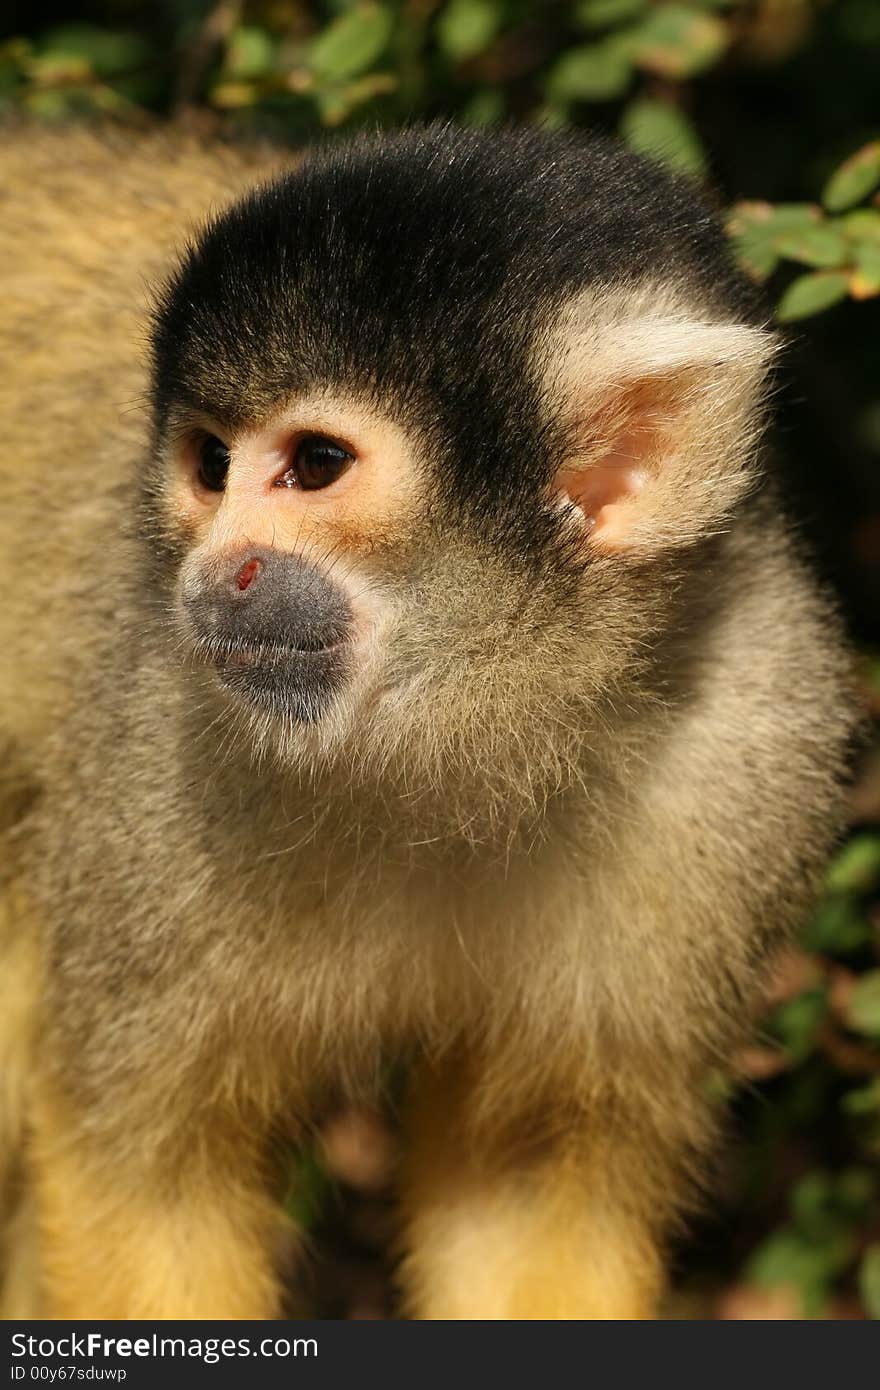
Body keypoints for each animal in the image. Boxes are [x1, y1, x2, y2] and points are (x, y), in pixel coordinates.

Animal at [0, 119, 856, 1312]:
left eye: (315, 465)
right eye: (209, 466)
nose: (215, 574)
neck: (476, 727)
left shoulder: (752, 737)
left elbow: (528, 1174)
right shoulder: (152, 755)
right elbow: (142, 1173)